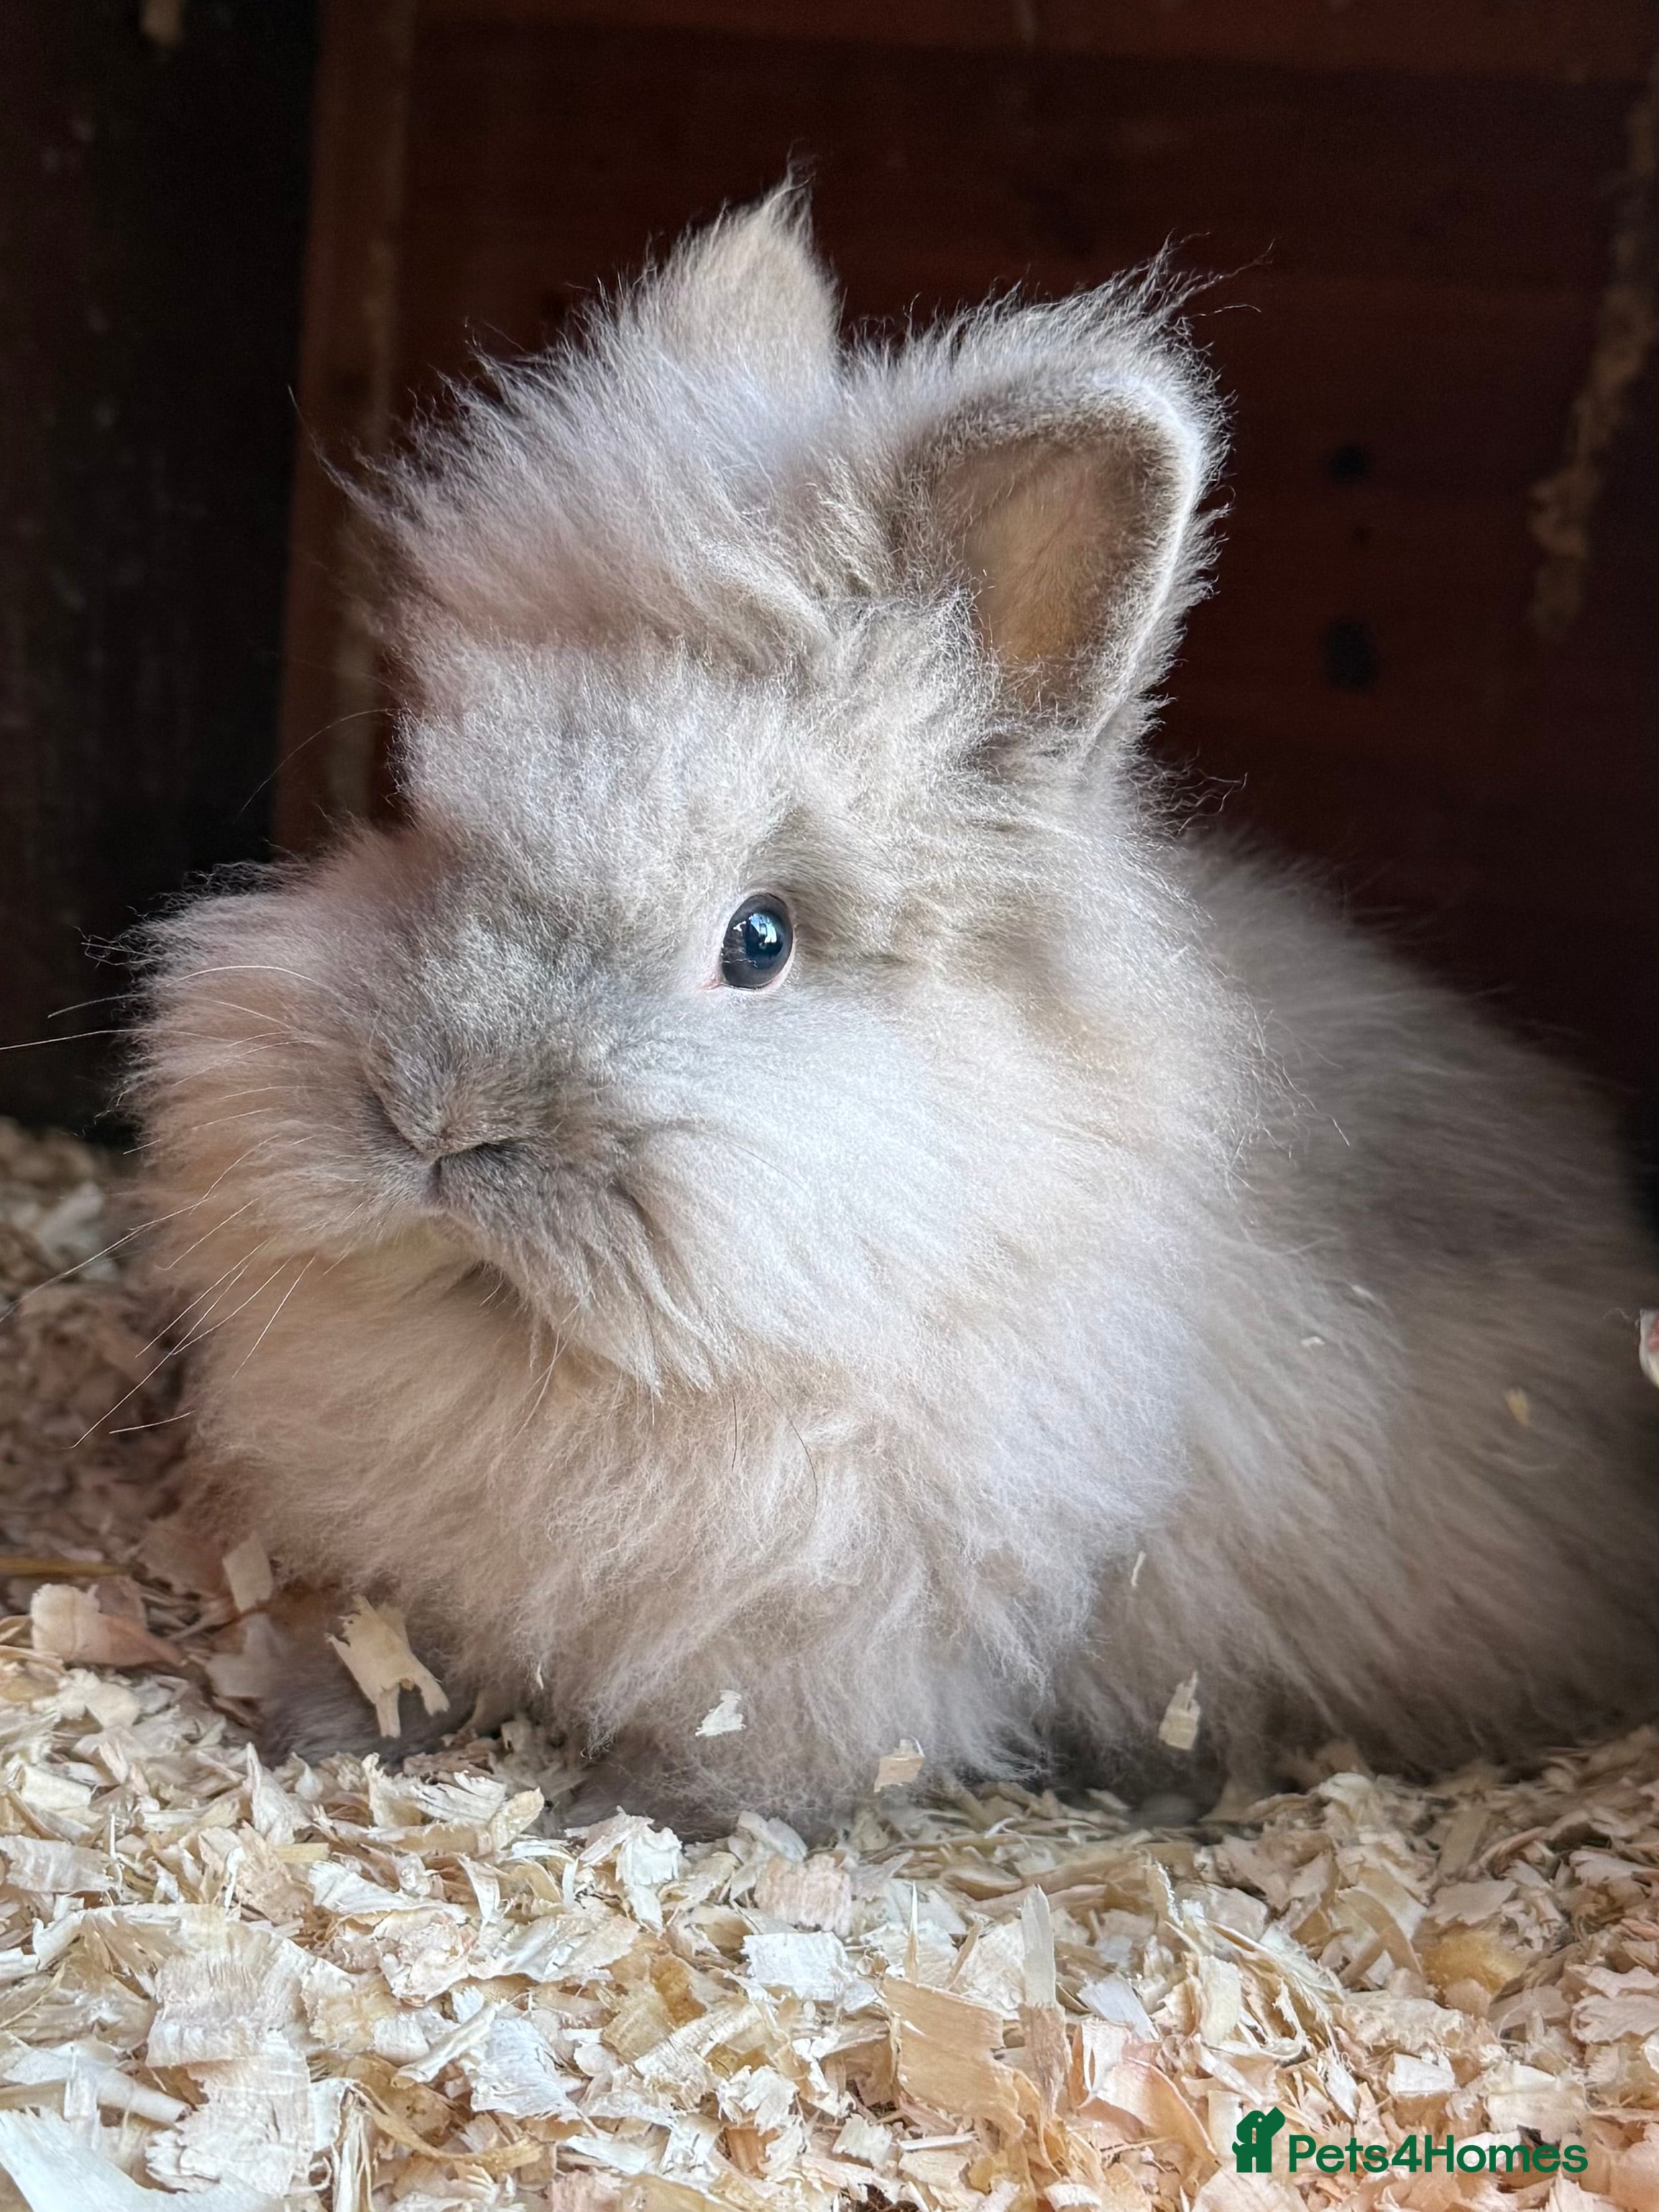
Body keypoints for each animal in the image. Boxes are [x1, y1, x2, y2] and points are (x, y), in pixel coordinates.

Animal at [135, 188, 1658, 1835]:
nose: (438, 1119)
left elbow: (746, 1752)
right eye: (415, 819)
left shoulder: (843, 1631)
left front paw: (627, 1816)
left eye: (758, 939)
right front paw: (323, 1719)